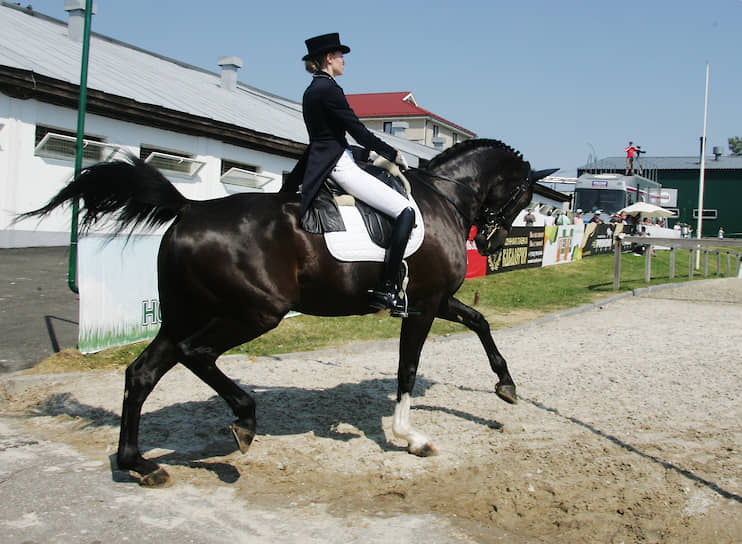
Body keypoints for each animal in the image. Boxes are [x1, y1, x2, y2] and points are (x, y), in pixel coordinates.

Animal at [24, 138, 552, 486]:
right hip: (255, 313)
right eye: (524, 199)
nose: (493, 244)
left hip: (182, 315)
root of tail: (191, 210)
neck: (443, 197)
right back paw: (243, 421)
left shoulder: (437, 301)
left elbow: (480, 321)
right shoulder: (421, 307)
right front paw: (410, 436)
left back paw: (139, 464)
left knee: (142, 373)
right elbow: (407, 370)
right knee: (197, 354)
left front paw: (506, 387)